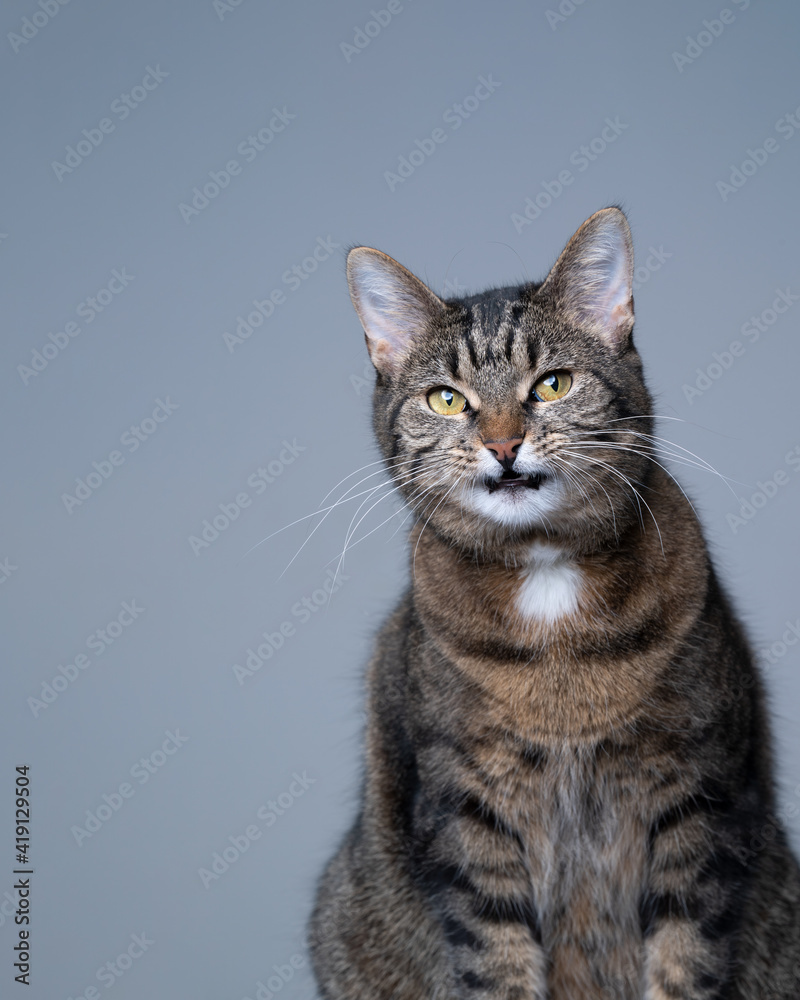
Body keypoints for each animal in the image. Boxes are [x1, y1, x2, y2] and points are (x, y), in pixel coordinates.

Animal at [306, 207, 800, 996]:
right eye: (447, 398)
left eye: (554, 384)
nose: (504, 445)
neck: (547, 575)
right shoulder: (463, 809)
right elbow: (497, 957)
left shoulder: (701, 793)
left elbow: (685, 955)